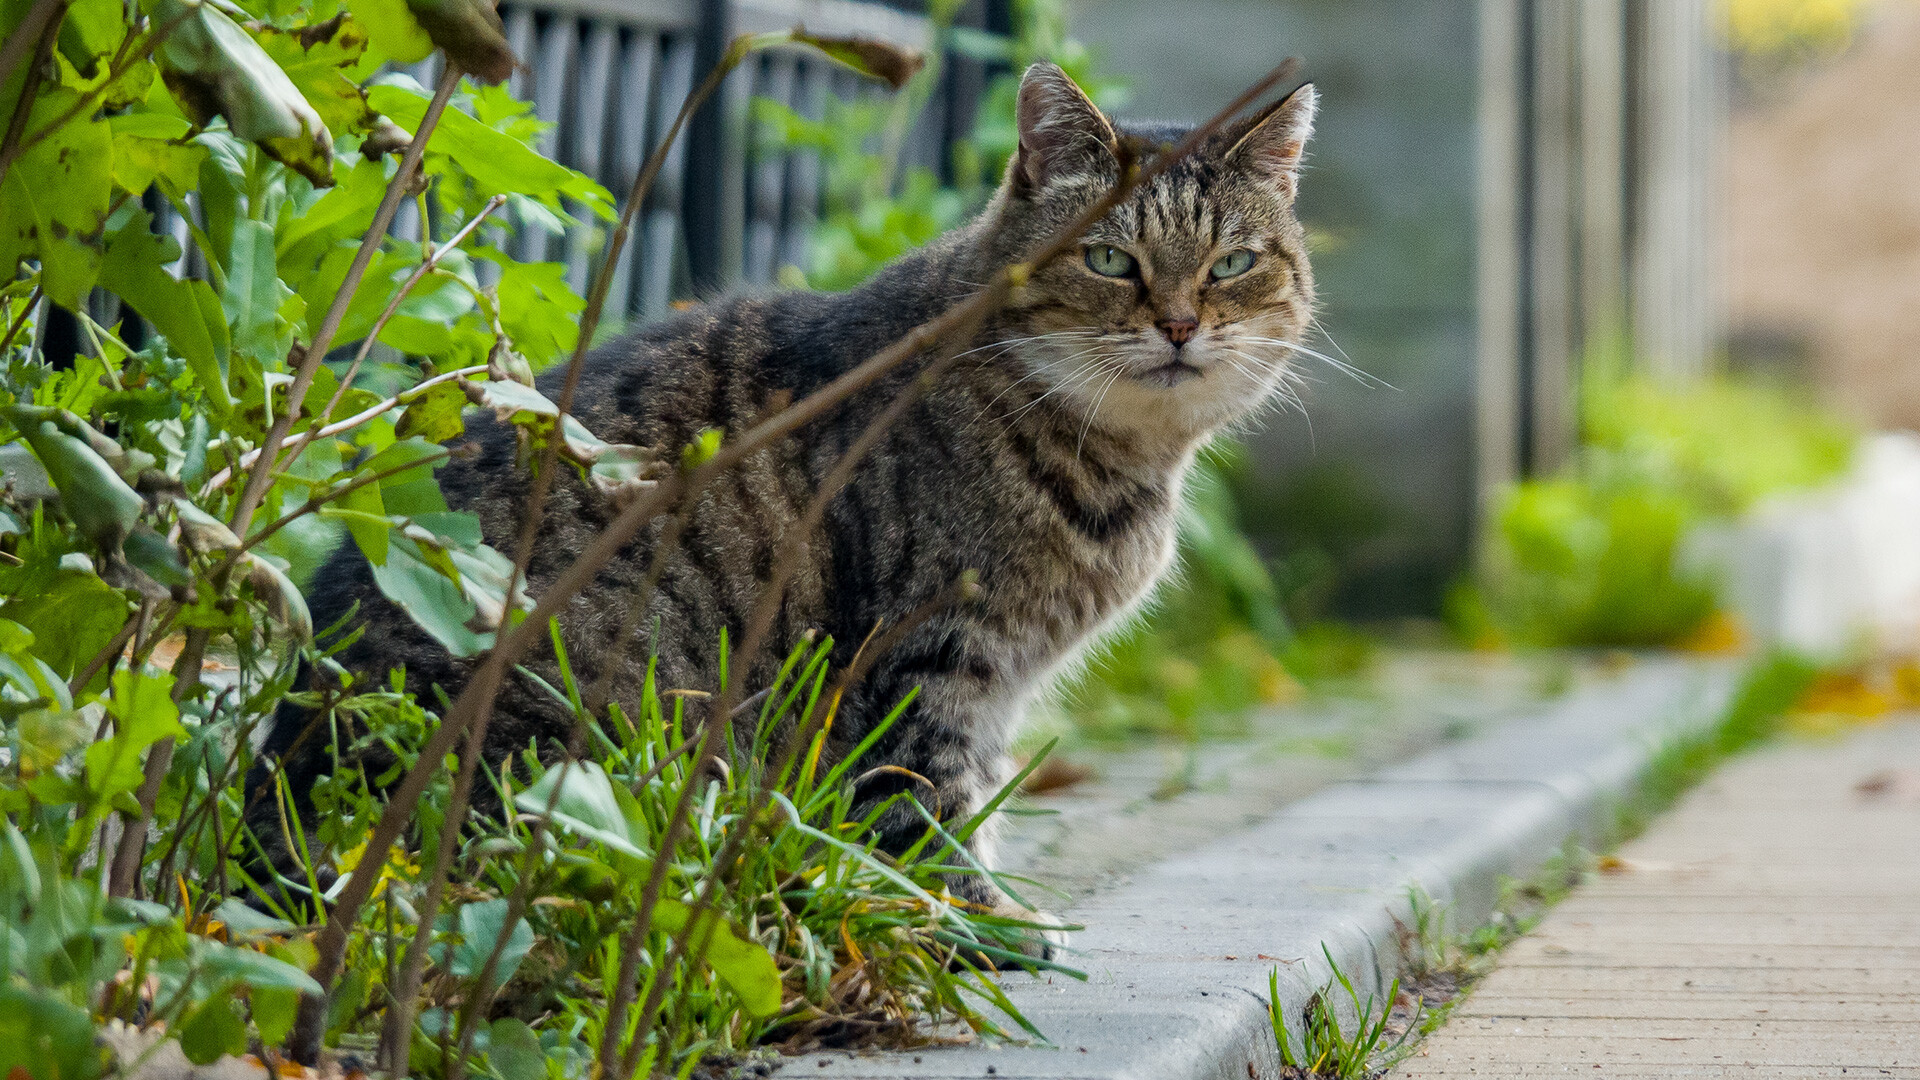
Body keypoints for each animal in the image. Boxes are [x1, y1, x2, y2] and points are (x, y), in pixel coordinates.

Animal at [259, 65, 1320, 941]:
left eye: (1231, 265)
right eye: (1108, 261)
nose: (1179, 324)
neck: (1115, 465)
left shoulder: (990, 681)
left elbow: (977, 794)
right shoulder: (929, 657)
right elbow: (932, 801)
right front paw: (976, 924)